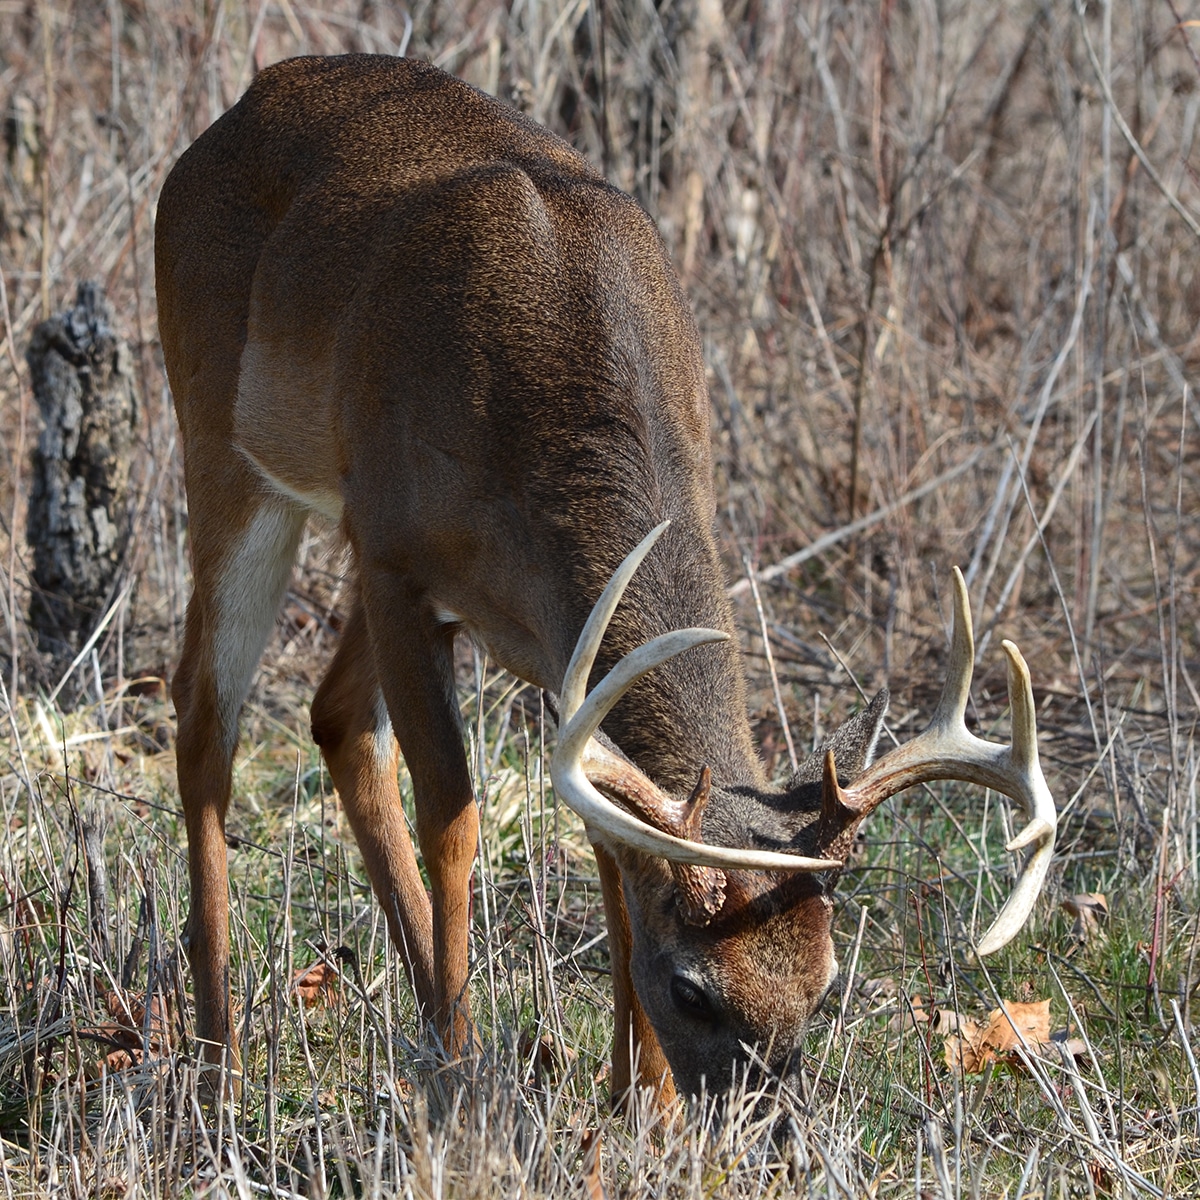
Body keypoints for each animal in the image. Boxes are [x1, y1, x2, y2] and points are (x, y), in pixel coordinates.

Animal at [154, 54, 1056, 1104]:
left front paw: (637, 1098)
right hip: (226, 448)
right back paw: (224, 1057)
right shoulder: (394, 557)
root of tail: (231, 114)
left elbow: (615, 846)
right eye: (695, 988)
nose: (764, 1116)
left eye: (826, 981)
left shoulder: (552, 635)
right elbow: (454, 814)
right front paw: (460, 1081)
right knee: (206, 711)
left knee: (333, 717)